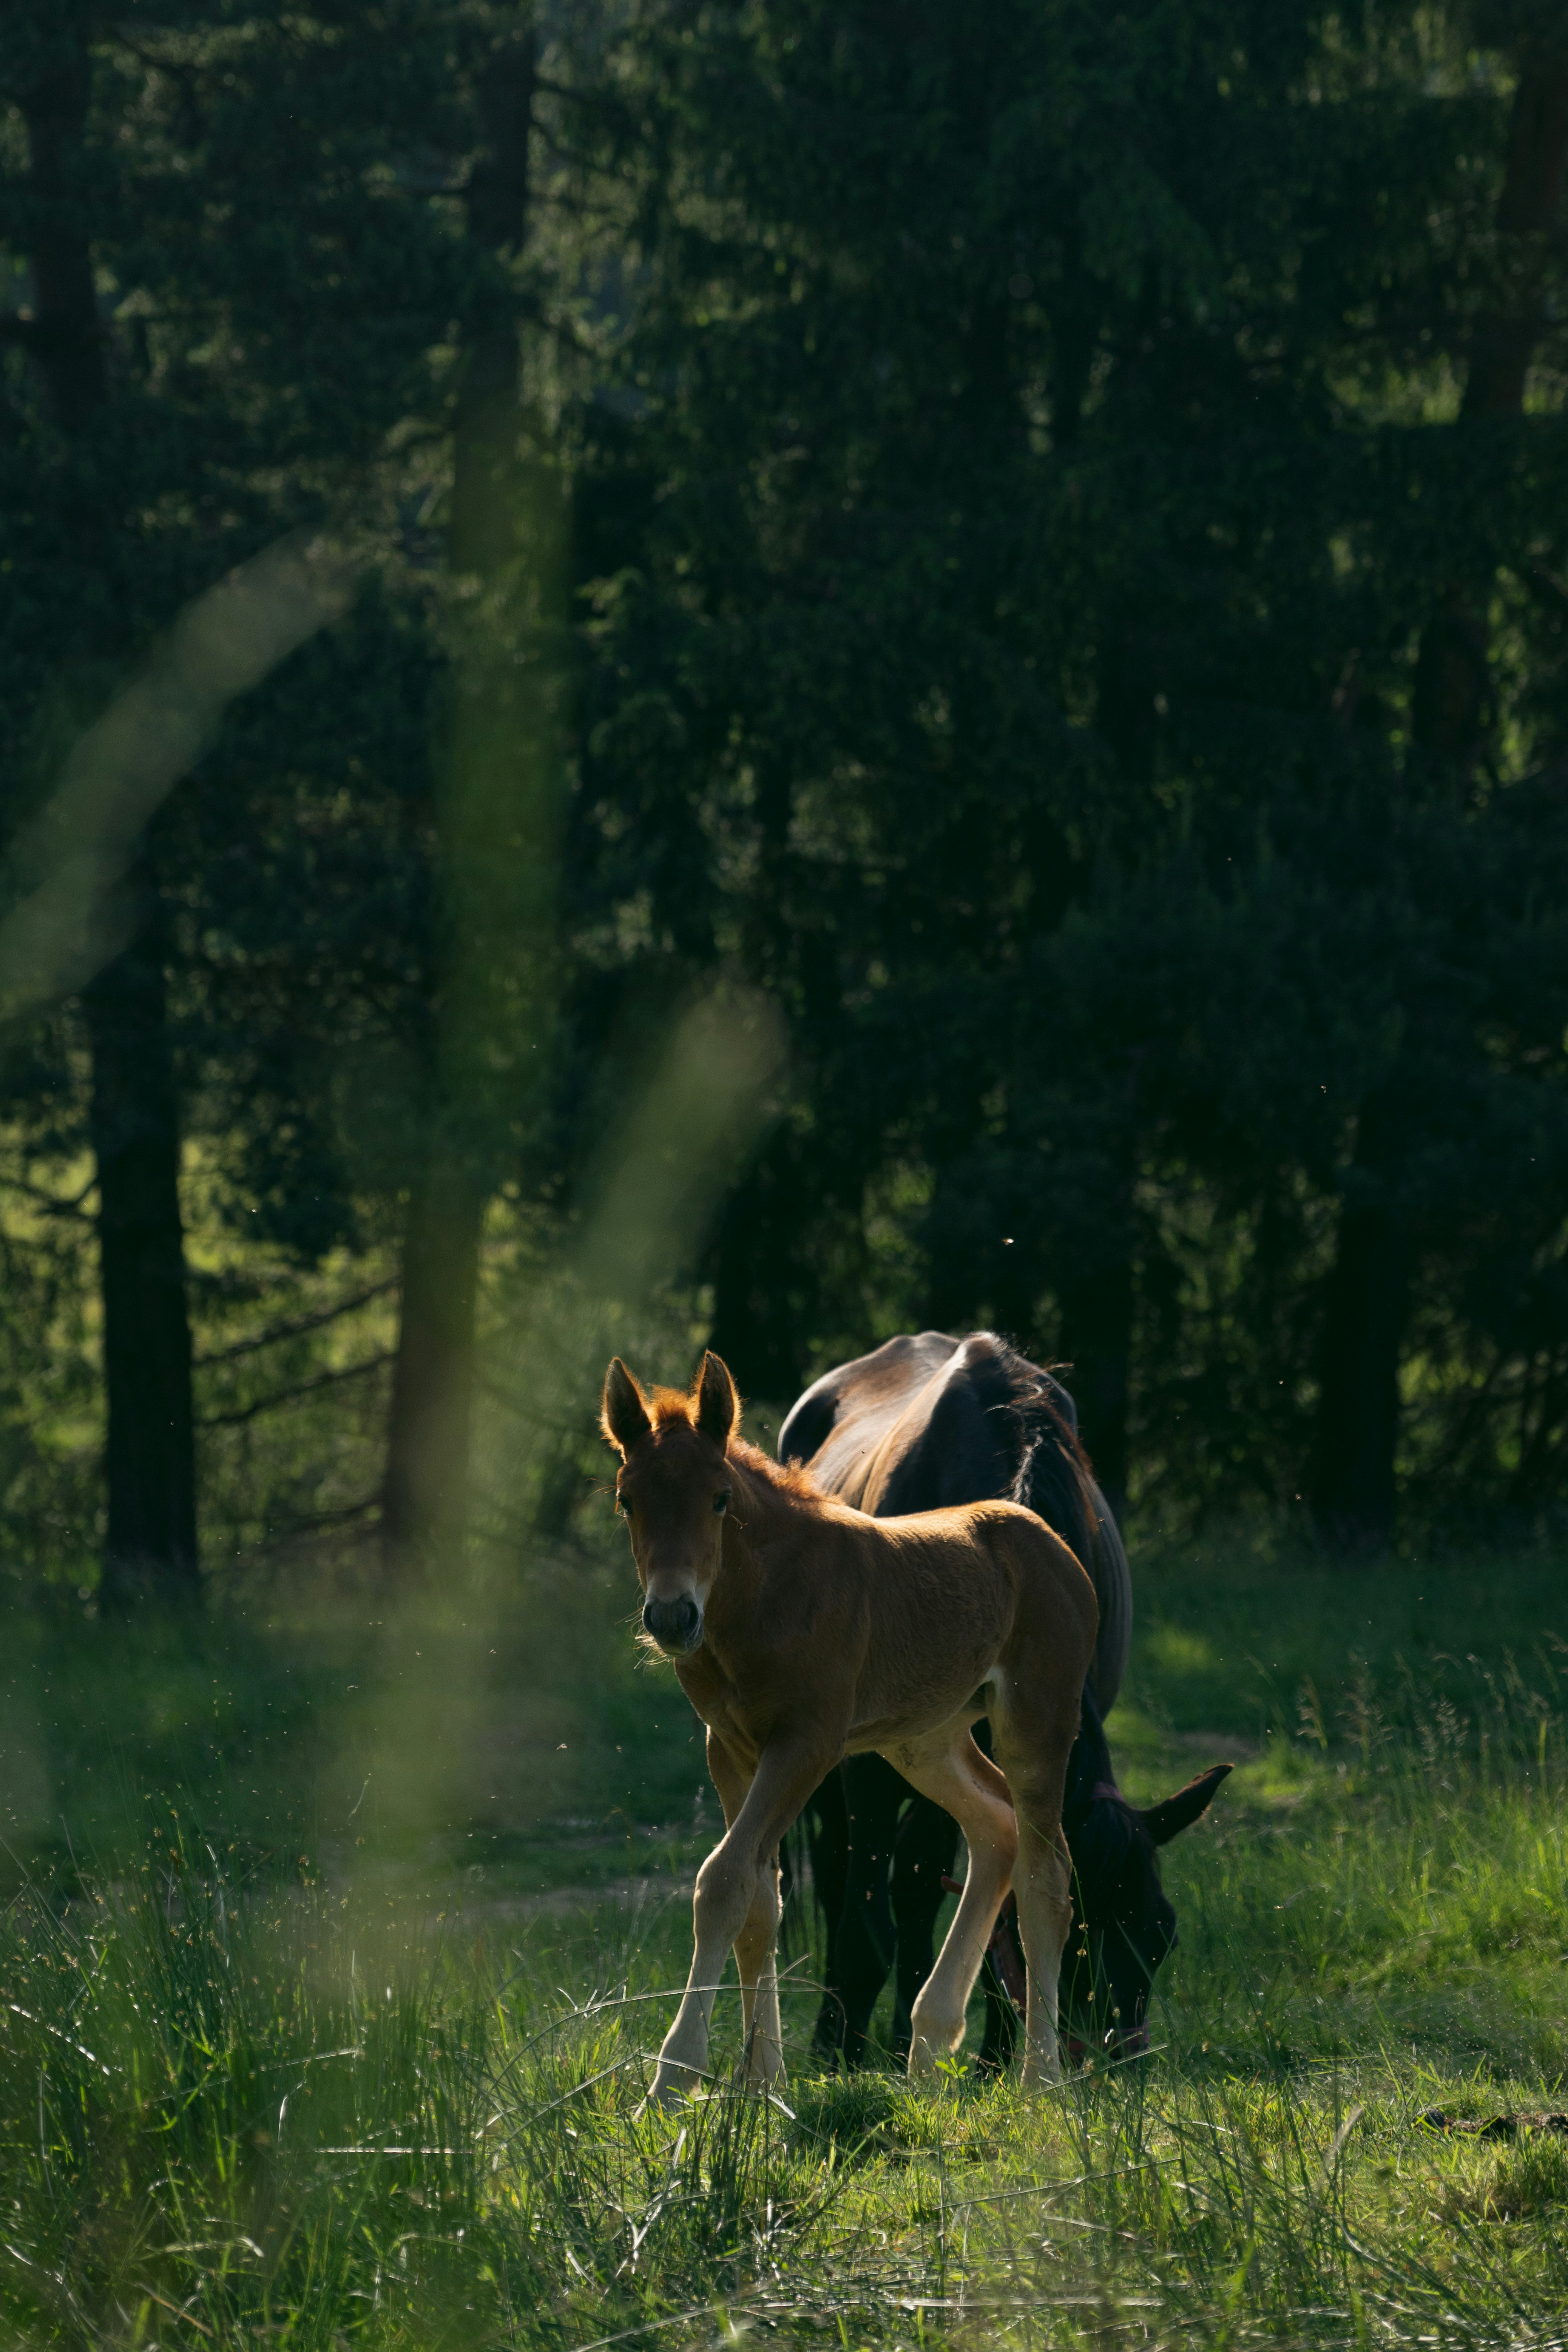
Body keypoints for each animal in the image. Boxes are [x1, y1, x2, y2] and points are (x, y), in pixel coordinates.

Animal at [601, 1349, 1098, 2104]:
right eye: (628, 1499)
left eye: (719, 1498)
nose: (671, 1616)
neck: (762, 1599)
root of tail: (1052, 1543)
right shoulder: (730, 1747)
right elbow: (759, 1899)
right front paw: (761, 2082)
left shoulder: (808, 1741)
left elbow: (723, 1882)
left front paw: (673, 2078)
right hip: (925, 1738)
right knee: (995, 1826)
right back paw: (928, 2048)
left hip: (1036, 1717)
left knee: (1047, 1875)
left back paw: (1039, 2079)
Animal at [778, 1331, 1230, 2067]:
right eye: (1078, 1941)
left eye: (1161, 1933)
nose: (1114, 2062)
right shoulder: (868, 1767)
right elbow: (867, 1920)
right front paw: (836, 2058)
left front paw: (991, 2058)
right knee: (844, 1870)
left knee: (918, 1877)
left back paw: (906, 2038)